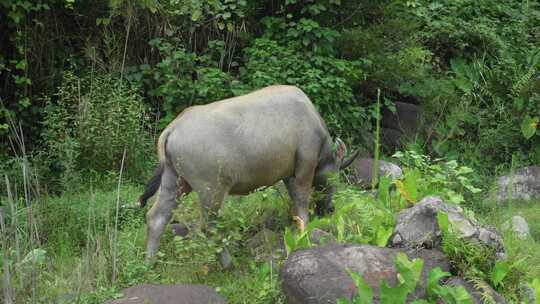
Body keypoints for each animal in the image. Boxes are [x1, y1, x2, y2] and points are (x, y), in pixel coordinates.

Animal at [139, 85, 358, 264]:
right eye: (336, 176)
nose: (330, 208)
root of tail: (171, 129)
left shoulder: (288, 175)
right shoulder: (305, 165)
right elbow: (302, 203)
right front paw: (304, 233)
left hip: (175, 182)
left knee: (156, 217)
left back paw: (149, 261)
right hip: (211, 190)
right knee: (209, 227)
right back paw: (228, 263)